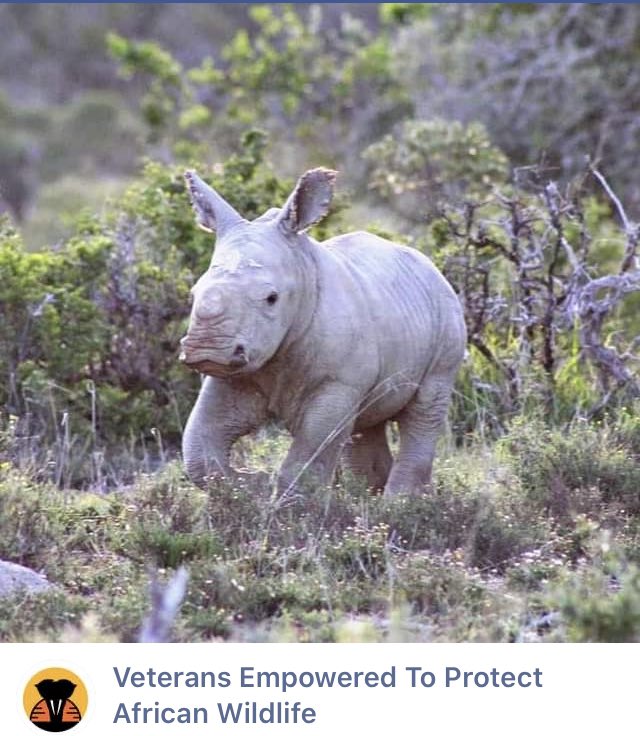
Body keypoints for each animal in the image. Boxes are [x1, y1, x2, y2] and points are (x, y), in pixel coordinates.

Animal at [180, 168, 466, 496]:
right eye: (193, 293)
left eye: (271, 298)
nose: (207, 348)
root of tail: (430, 266)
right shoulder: (235, 373)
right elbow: (198, 450)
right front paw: (251, 484)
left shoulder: (337, 384)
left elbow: (306, 463)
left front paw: (285, 502)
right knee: (366, 425)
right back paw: (371, 496)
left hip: (447, 320)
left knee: (424, 409)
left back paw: (400, 503)